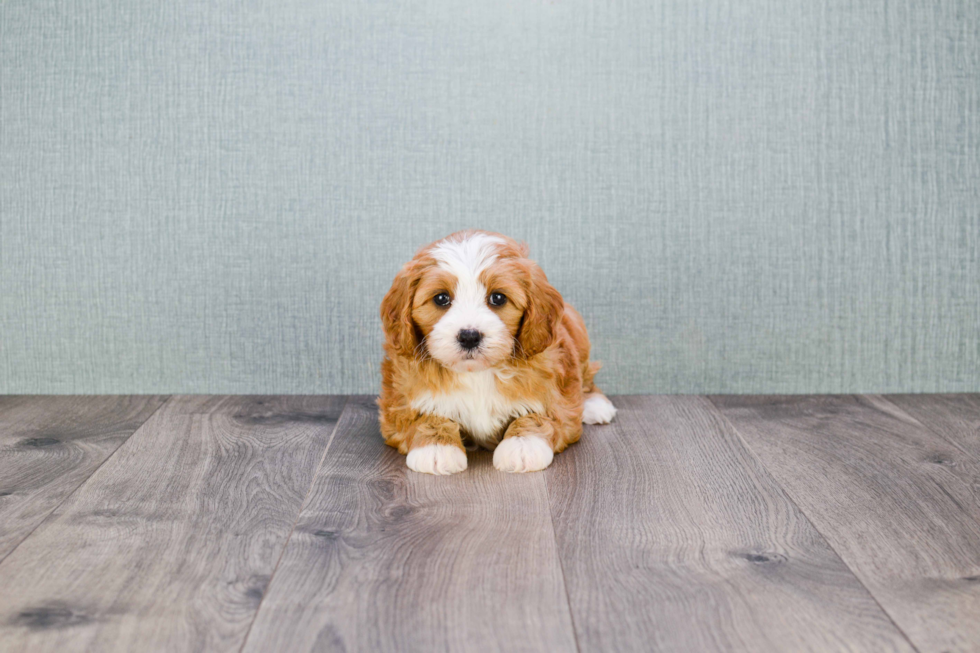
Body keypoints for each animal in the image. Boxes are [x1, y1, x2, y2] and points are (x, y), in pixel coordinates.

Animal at [378, 230, 616, 474]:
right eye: (441, 298)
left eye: (498, 298)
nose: (469, 336)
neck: (477, 373)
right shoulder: (399, 403)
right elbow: (424, 418)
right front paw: (436, 448)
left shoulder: (557, 400)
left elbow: (539, 417)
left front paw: (522, 446)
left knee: (585, 377)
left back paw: (595, 405)